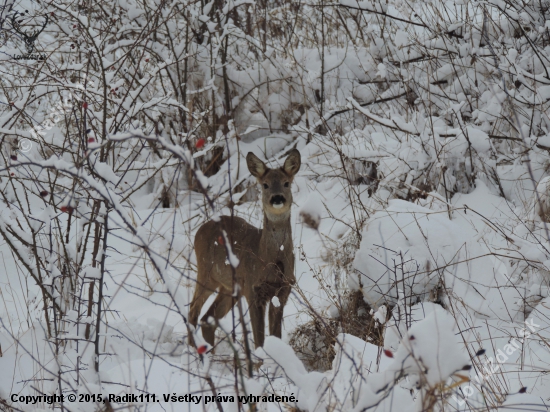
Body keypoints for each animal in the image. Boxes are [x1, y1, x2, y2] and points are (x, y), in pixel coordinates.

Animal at [190, 148, 302, 348]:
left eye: (286, 183)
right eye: (265, 185)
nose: (277, 198)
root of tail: (199, 231)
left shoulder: (283, 290)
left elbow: (275, 336)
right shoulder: (253, 289)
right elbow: (259, 340)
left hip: (228, 287)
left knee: (208, 318)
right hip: (206, 273)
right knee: (193, 310)